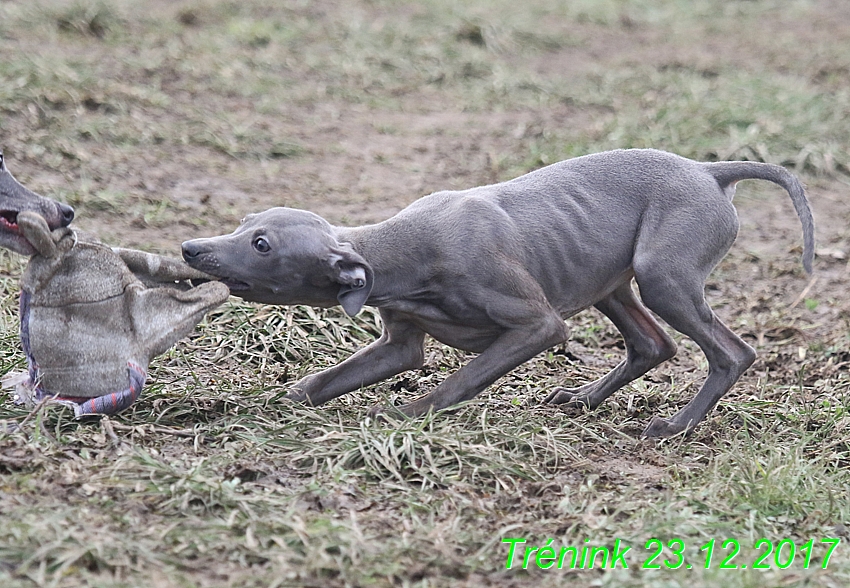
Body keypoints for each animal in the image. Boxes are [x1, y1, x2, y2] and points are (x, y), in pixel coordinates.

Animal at [182, 149, 812, 438]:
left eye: (261, 244)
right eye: (245, 223)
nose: (190, 248)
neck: (403, 248)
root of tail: (709, 171)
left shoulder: (537, 325)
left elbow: (458, 381)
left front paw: (402, 415)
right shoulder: (398, 345)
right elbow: (324, 382)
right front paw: (271, 404)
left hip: (662, 276)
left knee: (731, 352)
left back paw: (675, 425)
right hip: (610, 280)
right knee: (652, 345)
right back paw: (583, 398)